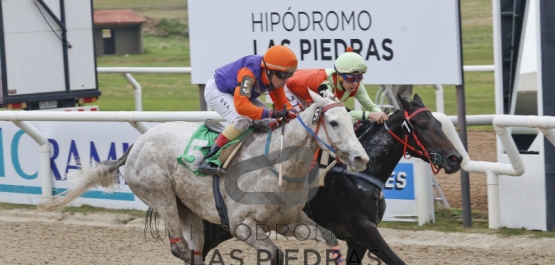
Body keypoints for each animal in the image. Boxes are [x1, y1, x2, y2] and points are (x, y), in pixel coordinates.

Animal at [39, 89, 370, 262]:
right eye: (333, 122)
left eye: (352, 121)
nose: (361, 158)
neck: (278, 168)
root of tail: (138, 142)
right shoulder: (242, 226)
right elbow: (275, 254)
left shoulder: (290, 222)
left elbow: (330, 238)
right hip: (161, 196)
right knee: (180, 248)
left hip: (188, 208)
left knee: (194, 248)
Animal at [164, 94, 460, 262]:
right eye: (422, 125)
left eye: (439, 123)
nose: (455, 158)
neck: (359, 176)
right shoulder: (364, 229)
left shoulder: (356, 239)